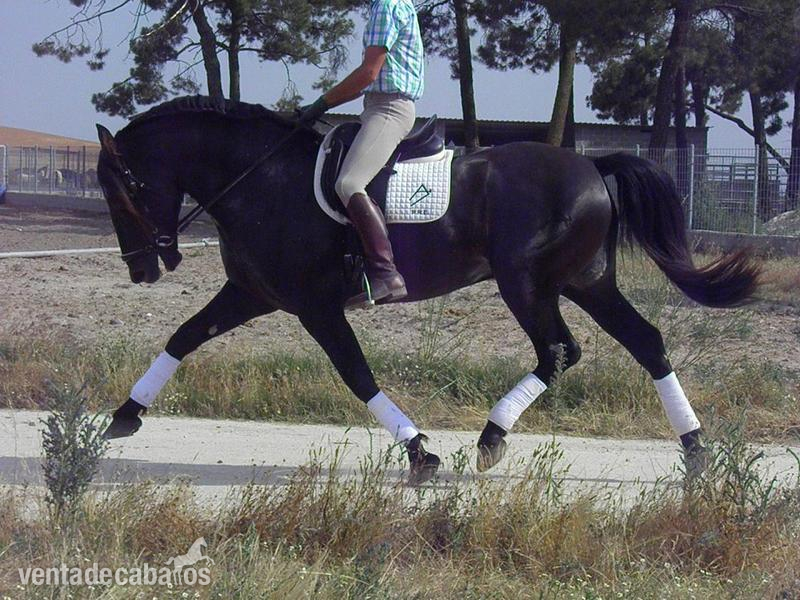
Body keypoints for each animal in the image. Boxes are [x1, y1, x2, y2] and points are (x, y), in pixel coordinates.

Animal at [96, 96, 760, 485]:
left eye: (121, 187)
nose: (142, 270)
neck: (260, 177)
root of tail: (593, 167)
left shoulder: (314, 307)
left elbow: (356, 374)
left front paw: (420, 454)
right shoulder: (253, 292)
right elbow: (184, 336)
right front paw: (122, 418)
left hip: (528, 283)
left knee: (559, 351)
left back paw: (491, 438)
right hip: (585, 281)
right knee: (646, 343)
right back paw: (696, 451)